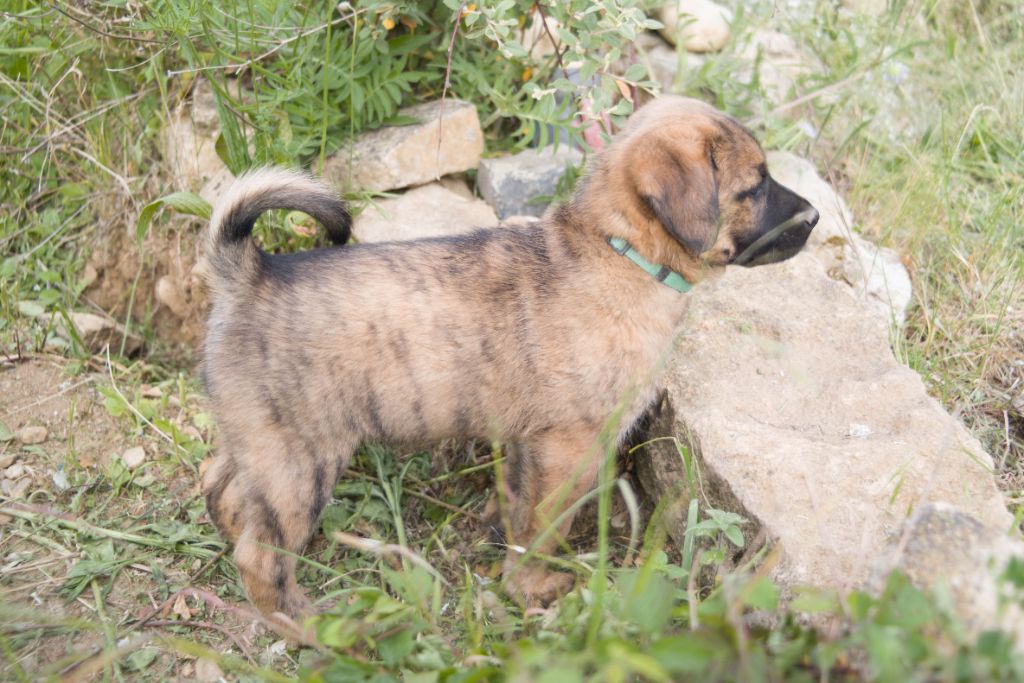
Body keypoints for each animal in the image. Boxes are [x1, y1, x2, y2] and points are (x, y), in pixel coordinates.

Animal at [200, 95, 819, 621]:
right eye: (755, 186)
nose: (815, 217)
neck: (620, 250)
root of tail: (250, 275)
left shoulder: (531, 443)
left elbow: (521, 512)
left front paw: (510, 558)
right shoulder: (570, 448)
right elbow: (547, 527)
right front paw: (534, 588)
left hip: (260, 441)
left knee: (221, 489)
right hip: (301, 460)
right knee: (259, 554)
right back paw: (305, 622)